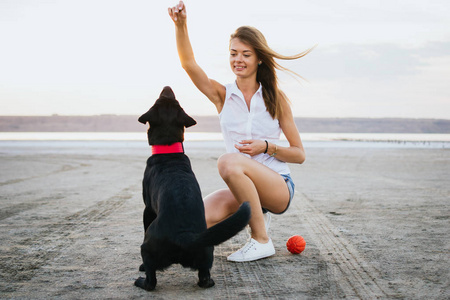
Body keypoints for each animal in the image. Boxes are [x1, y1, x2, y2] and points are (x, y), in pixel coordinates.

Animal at [134, 86, 253, 290]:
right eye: (176, 102)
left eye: (158, 100)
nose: (167, 87)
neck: (168, 150)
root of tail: (184, 236)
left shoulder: (147, 209)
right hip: (207, 250)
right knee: (205, 279)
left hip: (147, 247)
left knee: (151, 281)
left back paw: (140, 281)